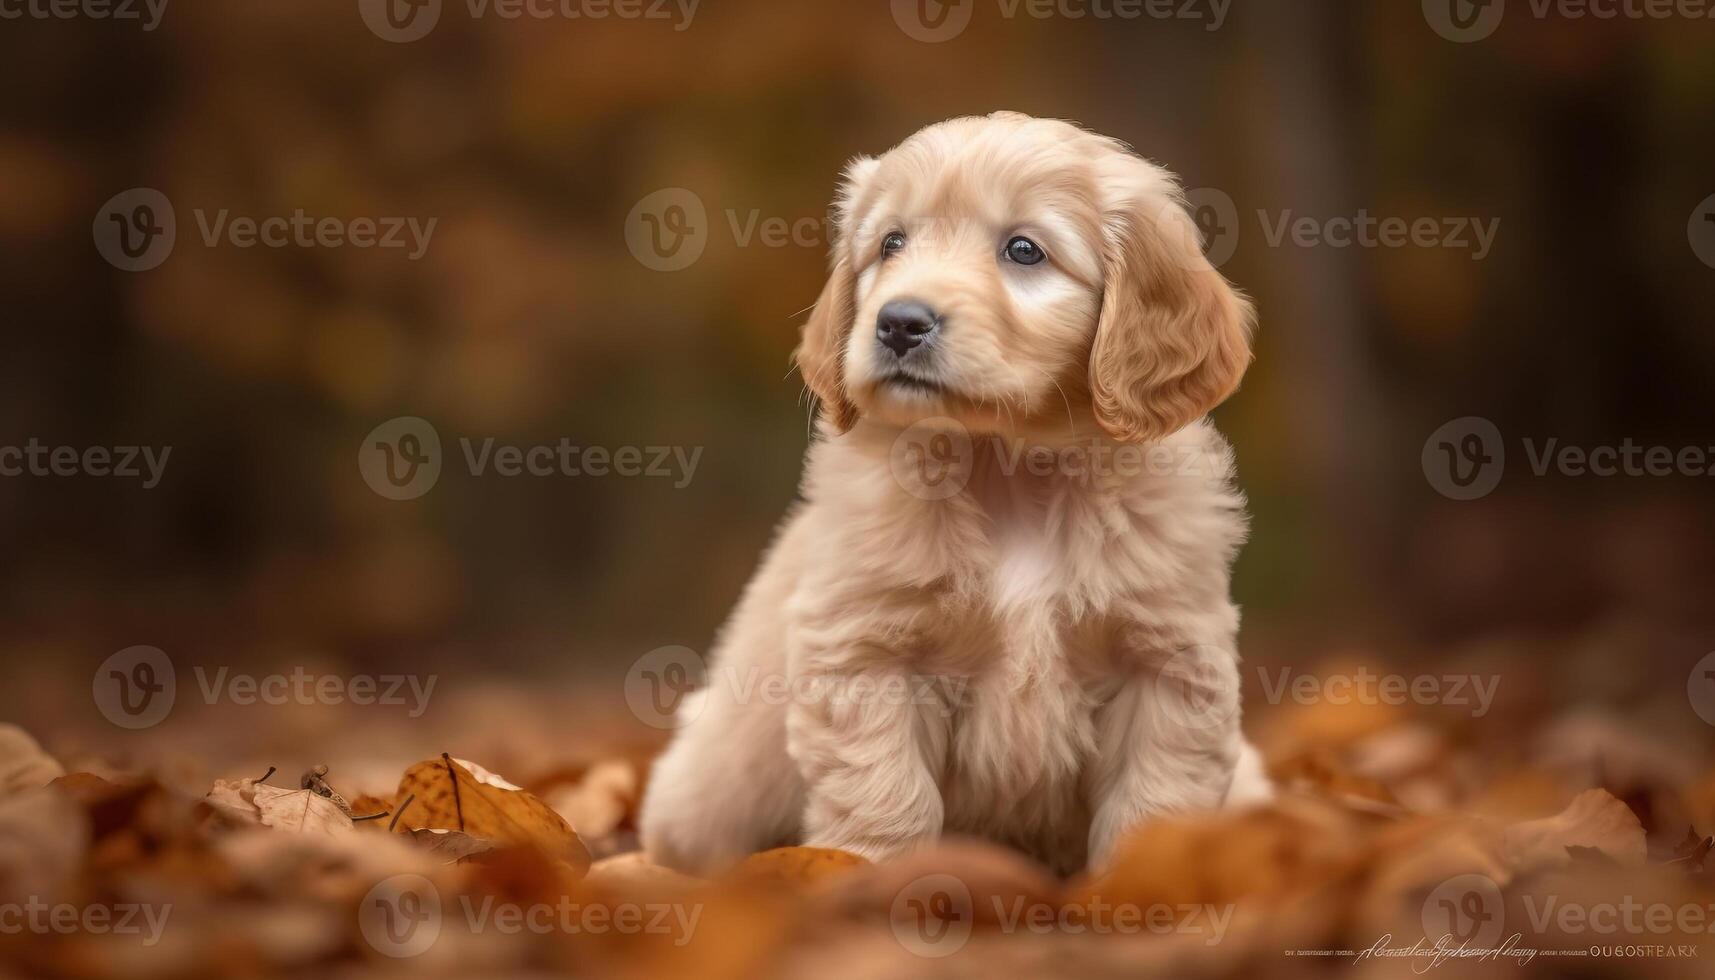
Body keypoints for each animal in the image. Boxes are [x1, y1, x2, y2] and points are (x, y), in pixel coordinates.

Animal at [644, 111, 1275, 878]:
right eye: (891, 243)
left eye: (1024, 250)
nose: (898, 322)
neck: (1007, 468)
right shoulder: (864, 651)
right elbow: (887, 794)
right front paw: (870, 879)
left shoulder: (1167, 659)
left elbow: (1153, 800)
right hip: (709, 793)